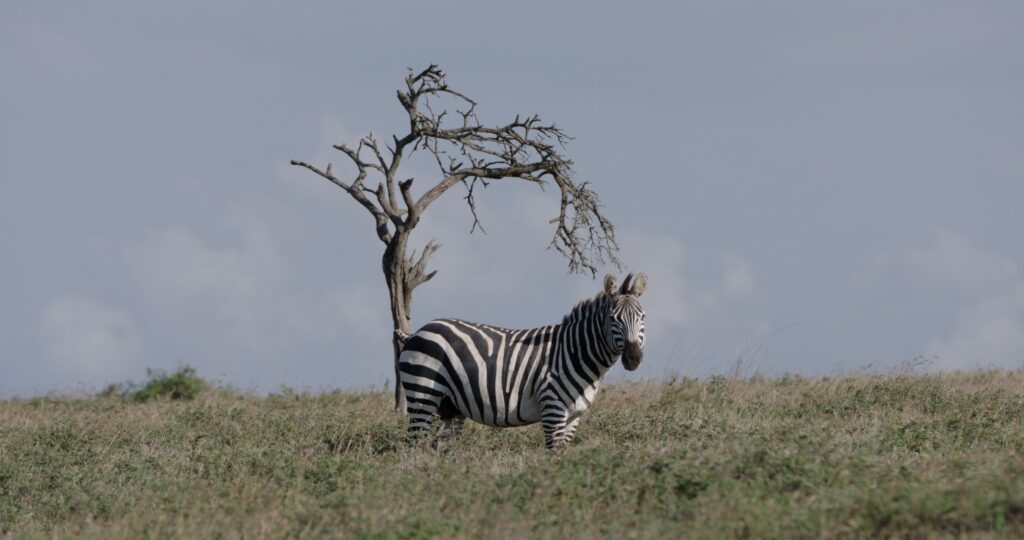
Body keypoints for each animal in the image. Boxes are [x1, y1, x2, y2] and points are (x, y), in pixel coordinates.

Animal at [395, 272, 643, 450]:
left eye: (642, 317)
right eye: (613, 319)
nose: (633, 358)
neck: (576, 353)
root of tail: (417, 332)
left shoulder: (573, 417)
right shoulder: (552, 407)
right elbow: (554, 455)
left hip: (450, 407)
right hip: (423, 395)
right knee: (413, 446)